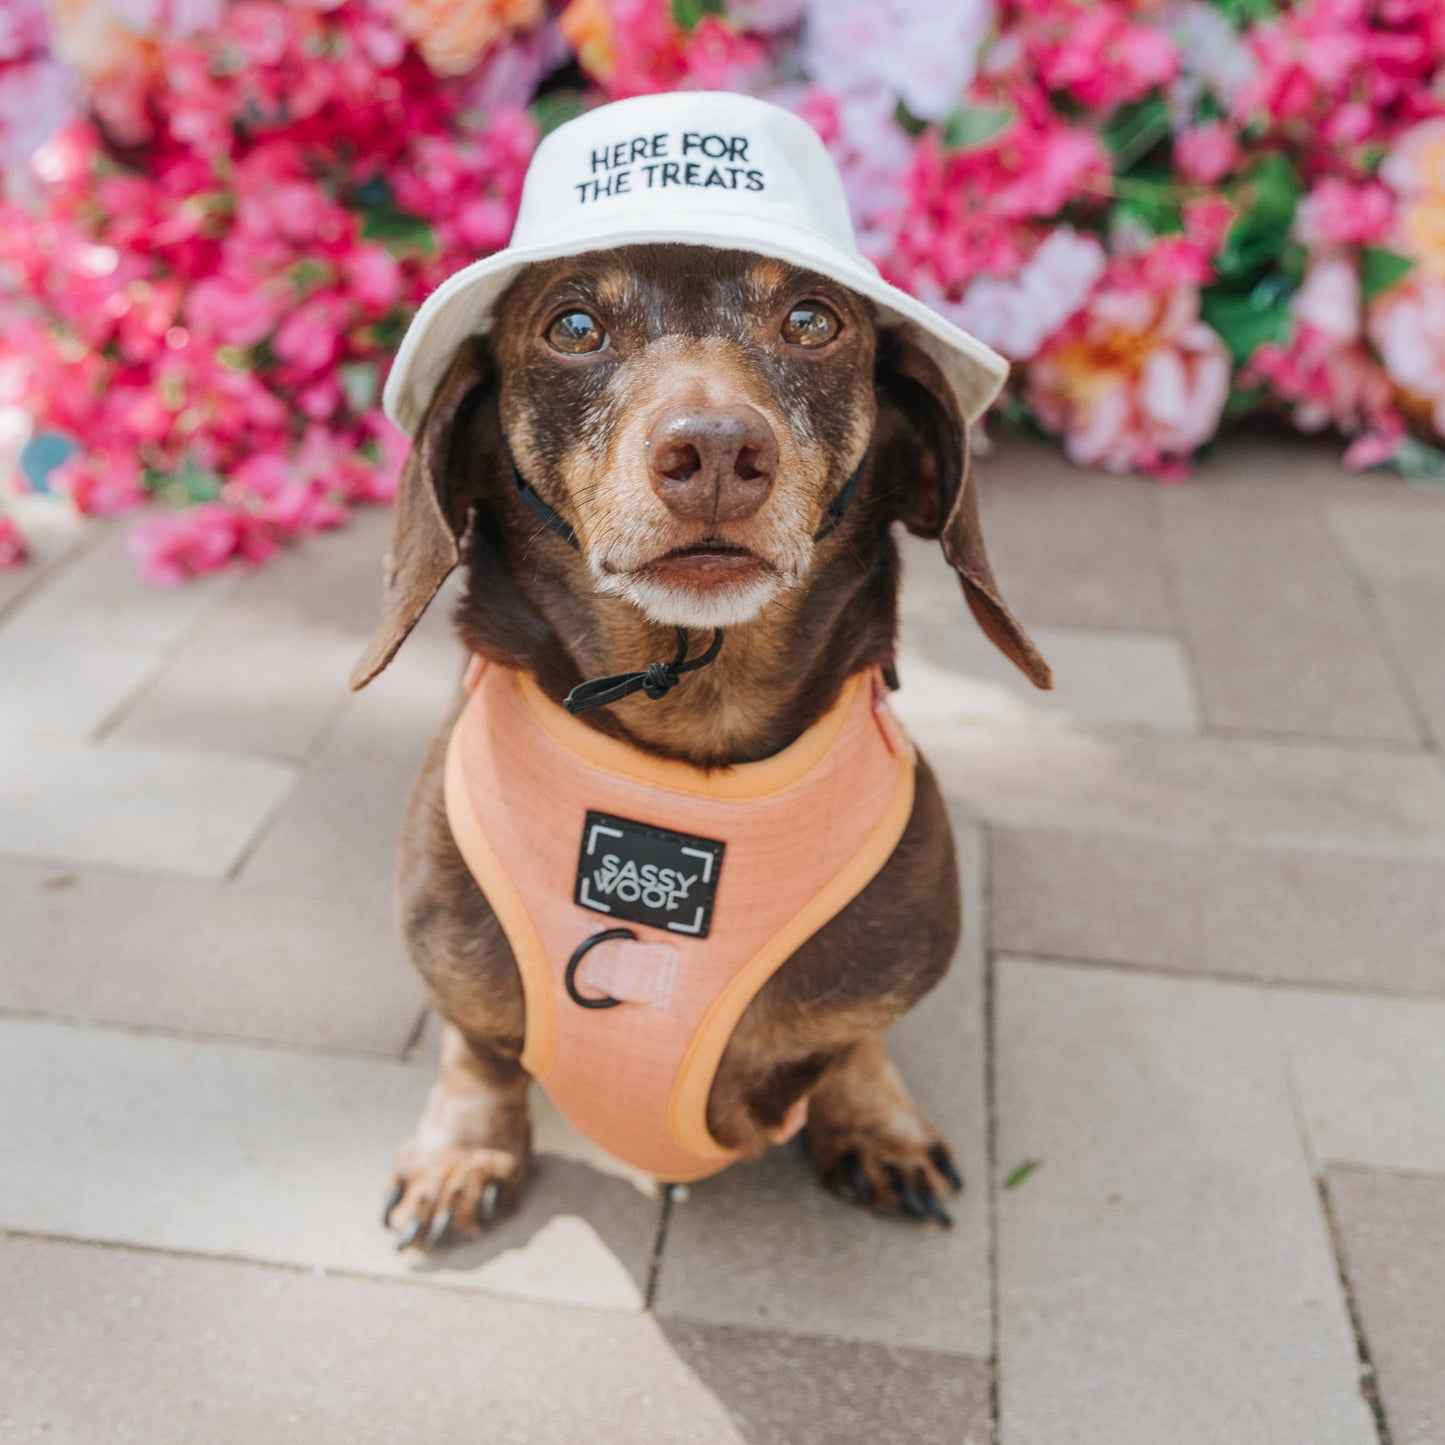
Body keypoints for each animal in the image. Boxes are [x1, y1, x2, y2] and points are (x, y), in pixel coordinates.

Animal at [349, 93, 1051, 1254]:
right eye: (573, 327)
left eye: (811, 320)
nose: (717, 451)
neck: (690, 737)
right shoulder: (451, 948)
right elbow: (479, 1047)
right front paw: (463, 1150)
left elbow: (854, 1042)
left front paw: (874, 1120)